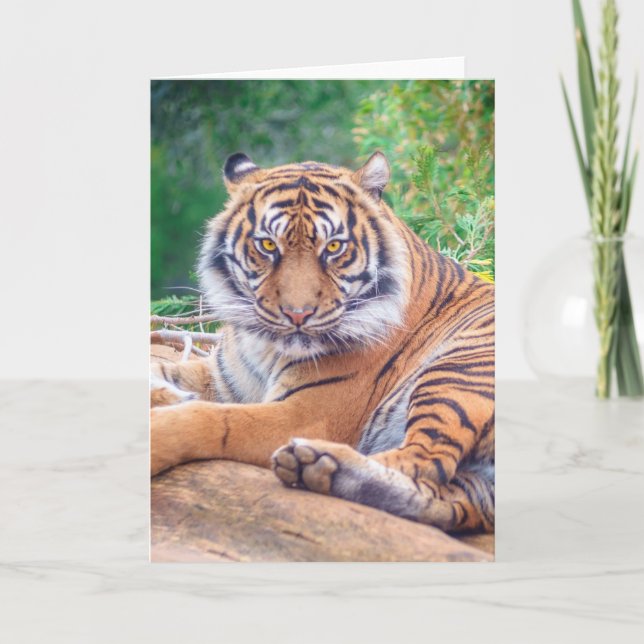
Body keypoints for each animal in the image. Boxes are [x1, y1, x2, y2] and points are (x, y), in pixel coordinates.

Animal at [151, 151, 495, 534]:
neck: (265, 345)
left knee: (426, 460)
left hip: (458, 369)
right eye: (267, 245)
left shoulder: (305, 414)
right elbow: (160, 368)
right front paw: (165, 393)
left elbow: (211, 419)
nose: (297, 314)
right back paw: (318, 468)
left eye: (333, 247)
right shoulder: (222, 378)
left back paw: (319, 459)